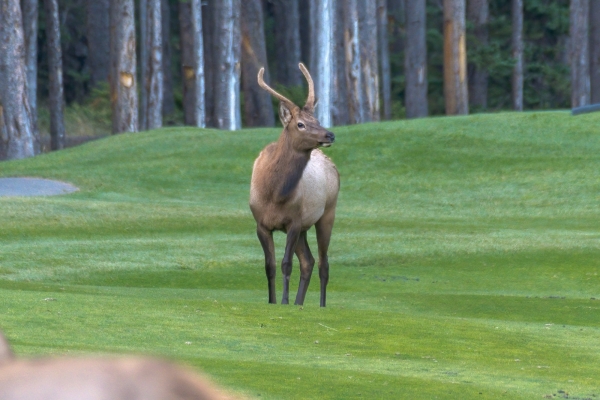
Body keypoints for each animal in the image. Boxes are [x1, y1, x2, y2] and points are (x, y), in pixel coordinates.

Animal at [248, 63, 340, 306]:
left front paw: (284, 302)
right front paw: (272, 301)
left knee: (323, 263)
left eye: (317, 121)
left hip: (327, 213)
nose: (330, 134)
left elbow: (286, 264)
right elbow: (269, 266)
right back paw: (300, 303)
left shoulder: (294, 222)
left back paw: (321, 305)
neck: (274, 194)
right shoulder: (261, 224)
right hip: (305, 228)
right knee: (308, 261)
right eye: (300, 124)